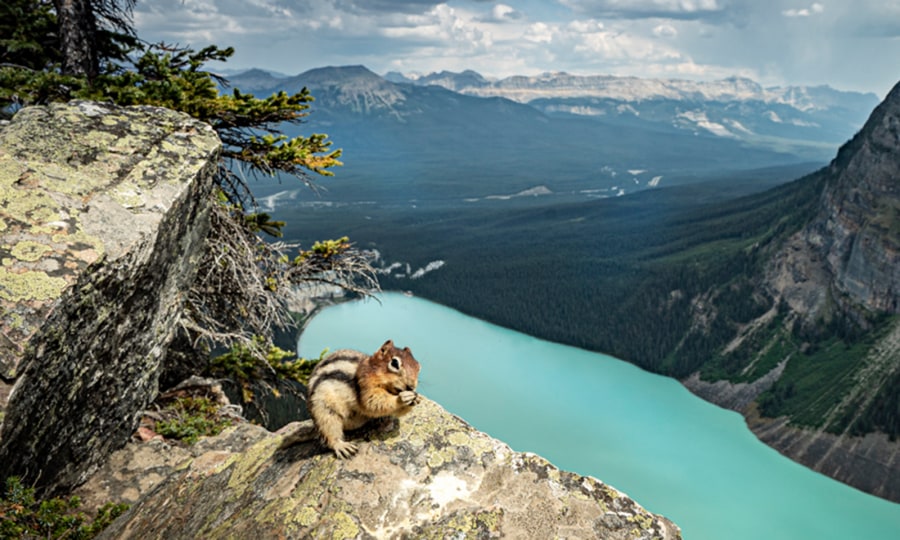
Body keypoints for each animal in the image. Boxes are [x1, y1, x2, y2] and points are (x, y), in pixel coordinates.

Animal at [280, 340, 420, 458]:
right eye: (394, 363)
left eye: (418, 367)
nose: (411, 386)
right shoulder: (365, 385)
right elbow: (372, 402)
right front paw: (402, 398)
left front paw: (416, 399)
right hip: (324, 412)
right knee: (330, 433)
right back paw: (342, 446)